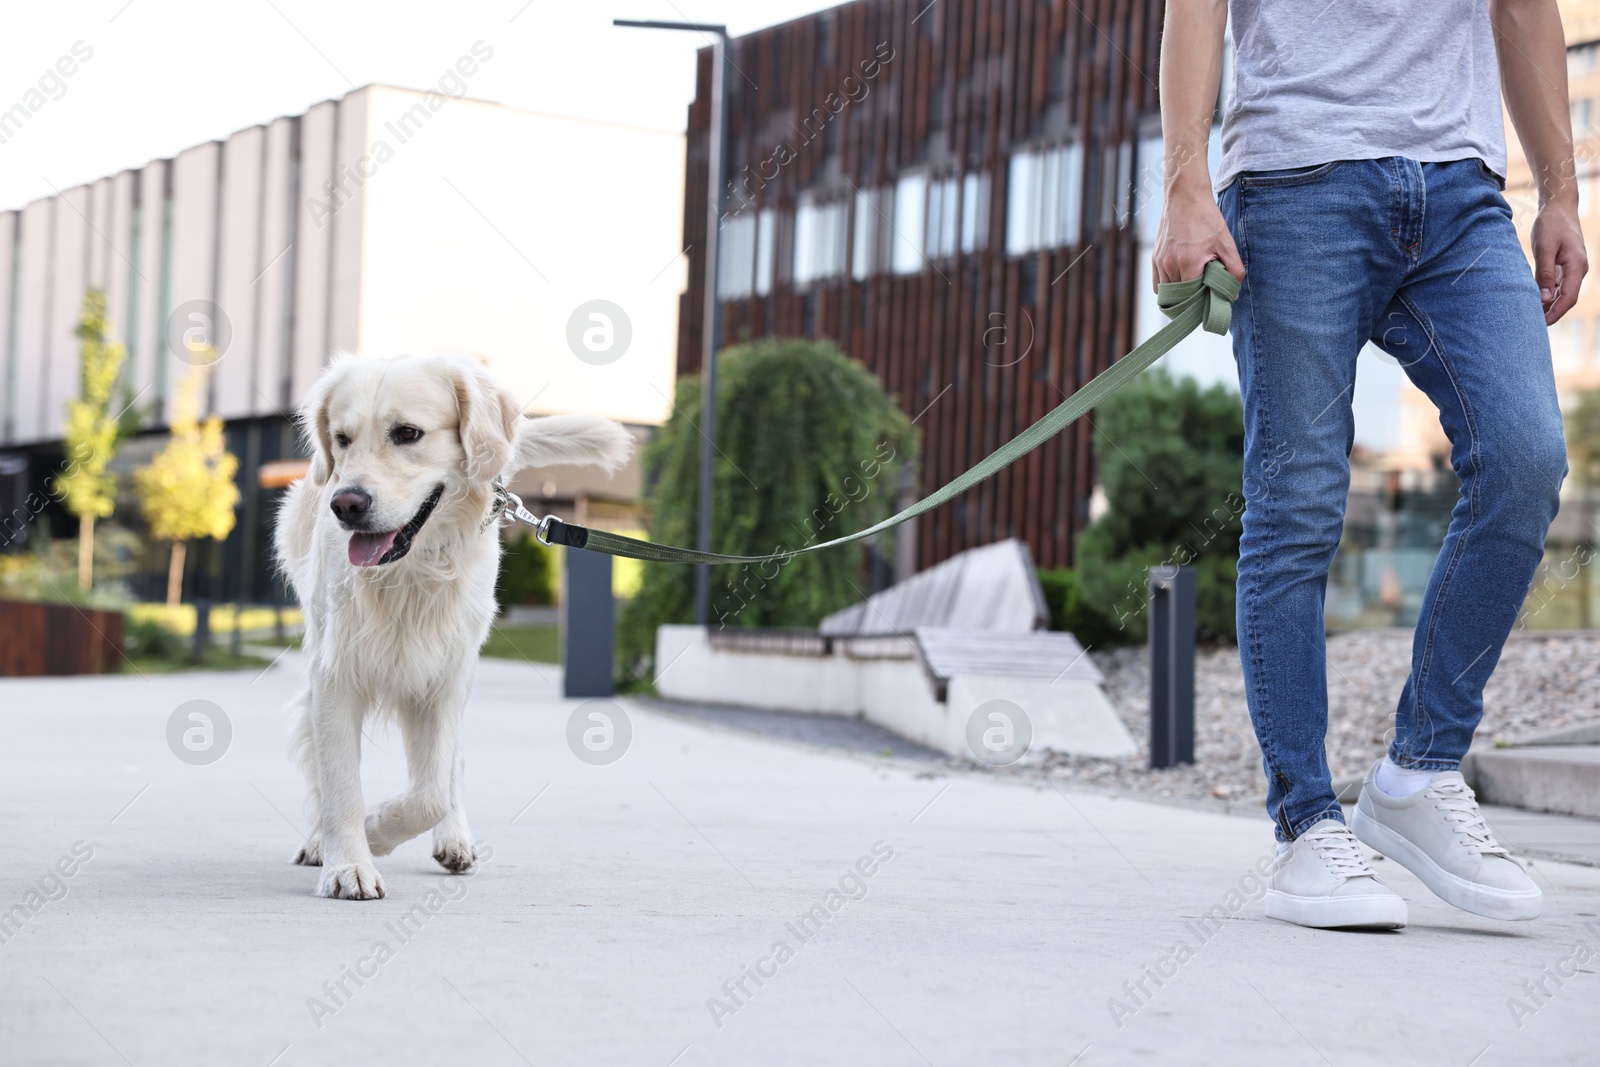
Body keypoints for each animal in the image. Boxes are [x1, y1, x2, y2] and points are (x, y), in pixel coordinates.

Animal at [275, 356, 630, 902]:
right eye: (341, 439)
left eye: (407, 433)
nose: (345, 504)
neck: (412, 571)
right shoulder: (334, 672)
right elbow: (339, 778)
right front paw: (347, 863)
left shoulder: (443, 675)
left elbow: (433, 792)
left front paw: (377, 829)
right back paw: (319, 841)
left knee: (449, 773)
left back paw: (454, 839)